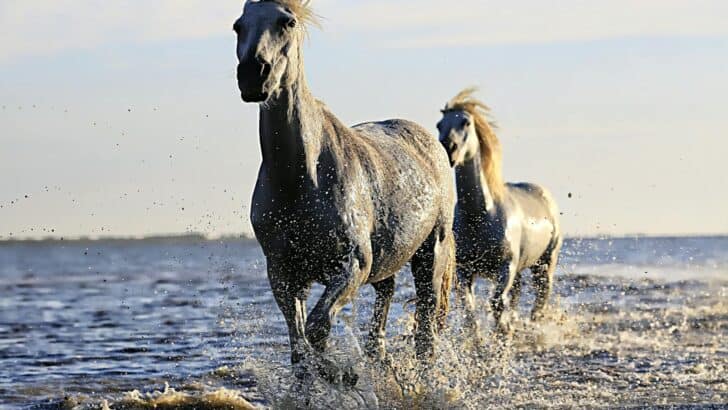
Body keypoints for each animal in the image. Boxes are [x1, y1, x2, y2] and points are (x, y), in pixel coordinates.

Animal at [234, 0, 456, 386]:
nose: (252, 75)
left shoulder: (351, 265)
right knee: (385, 303)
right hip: (387, 262)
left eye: (286, 22)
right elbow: (299, 346)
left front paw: (339, 374)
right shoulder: (284, 273)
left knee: (426, 332)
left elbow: (318, 328)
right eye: (238, 26)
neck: (301, 179)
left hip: (431, 254)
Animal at [436, 88, 562, 338]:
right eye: (439, 125)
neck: (480, 215)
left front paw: (502, 334)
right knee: (516, 295)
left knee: (539, 300)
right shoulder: (465, 271)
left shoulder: (505, 268)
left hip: (545, 263)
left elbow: (496, 304)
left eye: (465, 122)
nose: (448, 148)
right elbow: (469, 311)